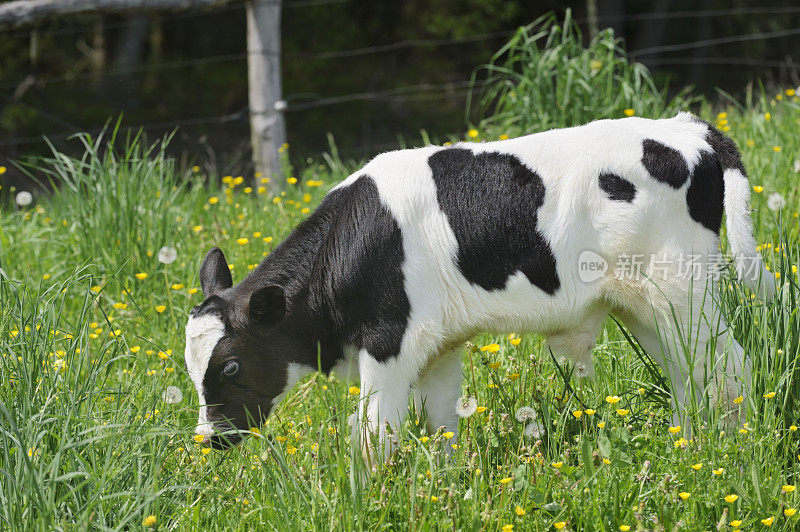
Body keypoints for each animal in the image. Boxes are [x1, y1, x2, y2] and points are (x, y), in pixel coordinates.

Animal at [186, 112, 776, 458]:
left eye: (231, 365)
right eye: (192, 370)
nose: (209, 439)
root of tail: (688, 126)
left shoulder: (388, 343)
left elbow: (374, 432)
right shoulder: (439, 346)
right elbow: (442, 423)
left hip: (686, 289)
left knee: (731, 365)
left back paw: (729, 448)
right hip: (646, 305)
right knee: (686, 372)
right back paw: (690, 445)